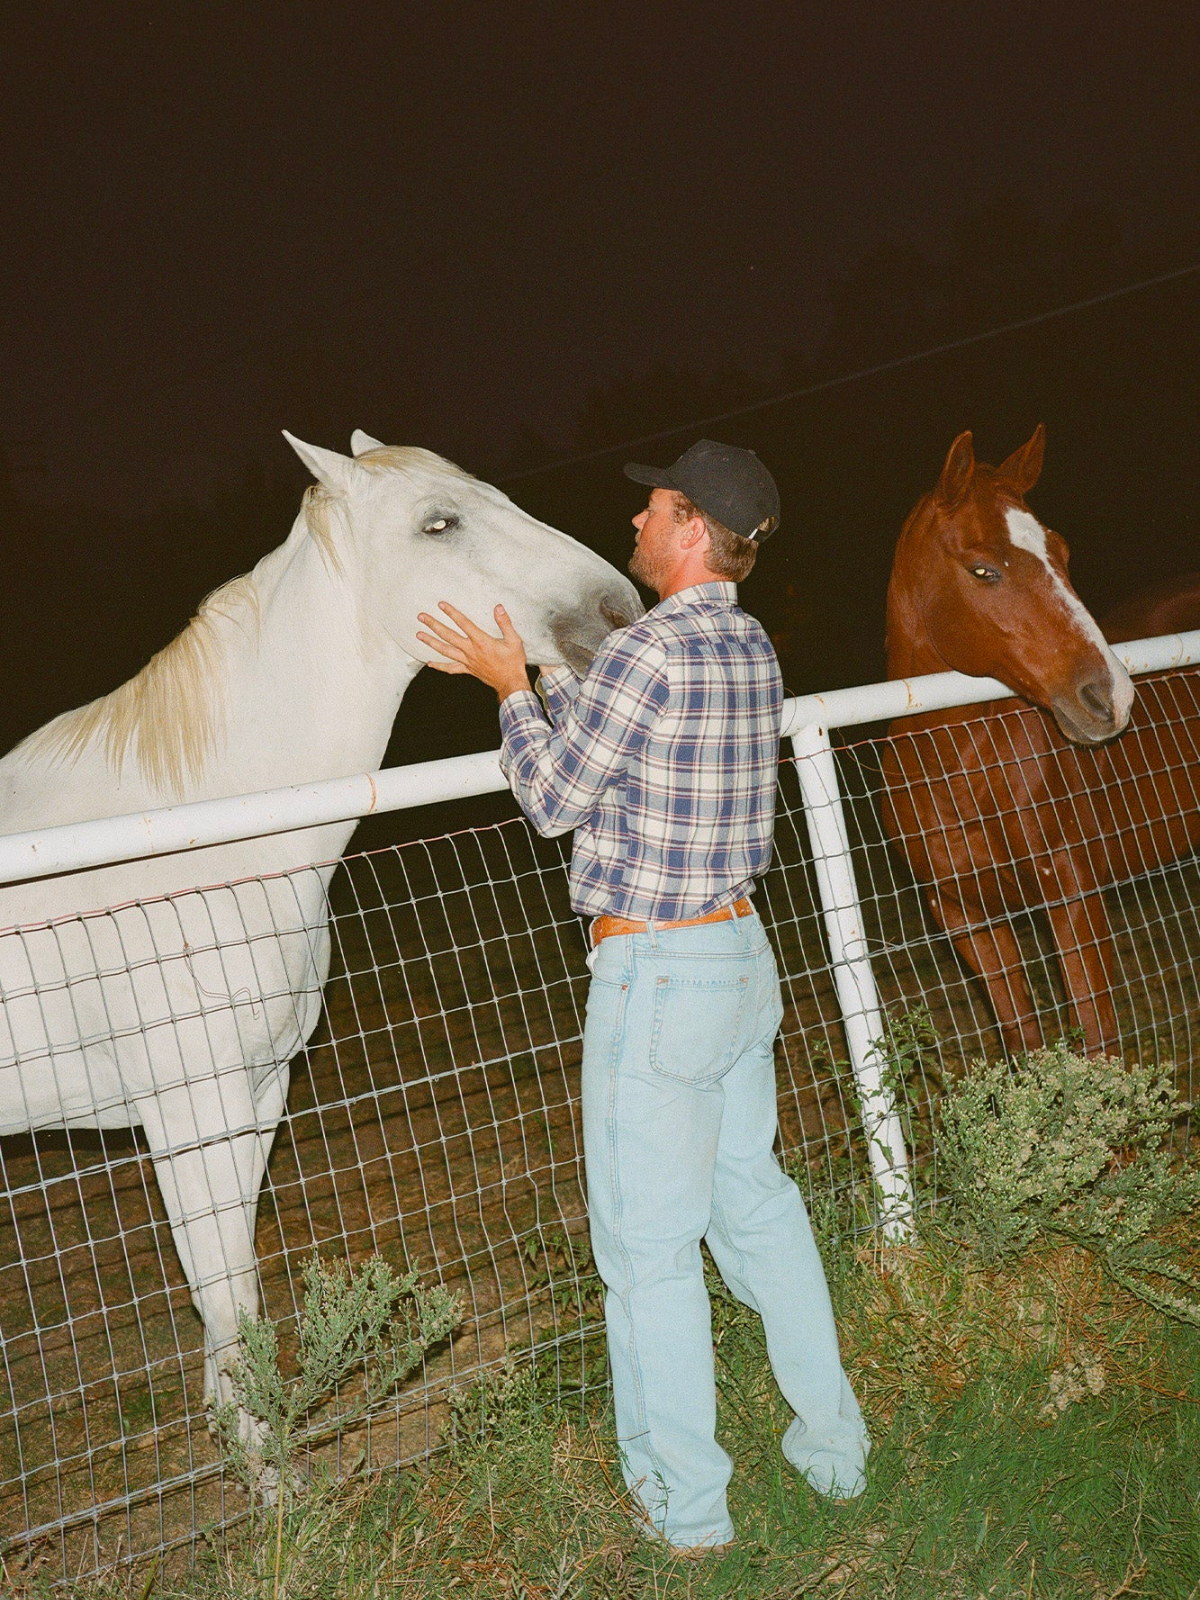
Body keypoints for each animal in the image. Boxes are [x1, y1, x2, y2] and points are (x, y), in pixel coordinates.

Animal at [0, 432, 649, 1446]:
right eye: (438, 523)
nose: (615, 609)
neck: (194, 835)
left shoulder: (256, 1094)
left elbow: (233, 1305)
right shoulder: (189, 1113)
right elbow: (225, 1297)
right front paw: (264, 1479)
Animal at [876, 428, 1200, 1049]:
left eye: (1062, 552)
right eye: (982, 570)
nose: (1111, 697)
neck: (963, 775)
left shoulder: (1073, 898)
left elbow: (1100, 1044)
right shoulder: (966, 918)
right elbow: (1022, 1040)